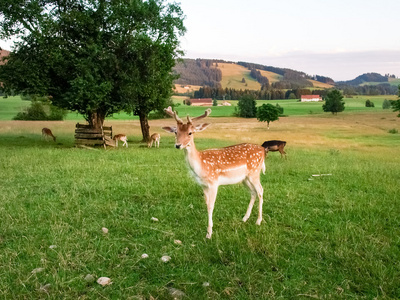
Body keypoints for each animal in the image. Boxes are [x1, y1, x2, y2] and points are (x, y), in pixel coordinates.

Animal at [162, 106, 266, 238]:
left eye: (190, 132)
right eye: (176, 132)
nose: (178, 145)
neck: (201, 167)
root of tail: (263, 150)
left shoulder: (213, 182)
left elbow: (211, 206)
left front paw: (209, 233)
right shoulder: (203, 185)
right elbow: (206, 205)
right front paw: (208, 230)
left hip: (254, 172)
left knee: (260, 191)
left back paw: (258, 221)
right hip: (244, 178)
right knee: (253, 192)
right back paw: (244, 218)